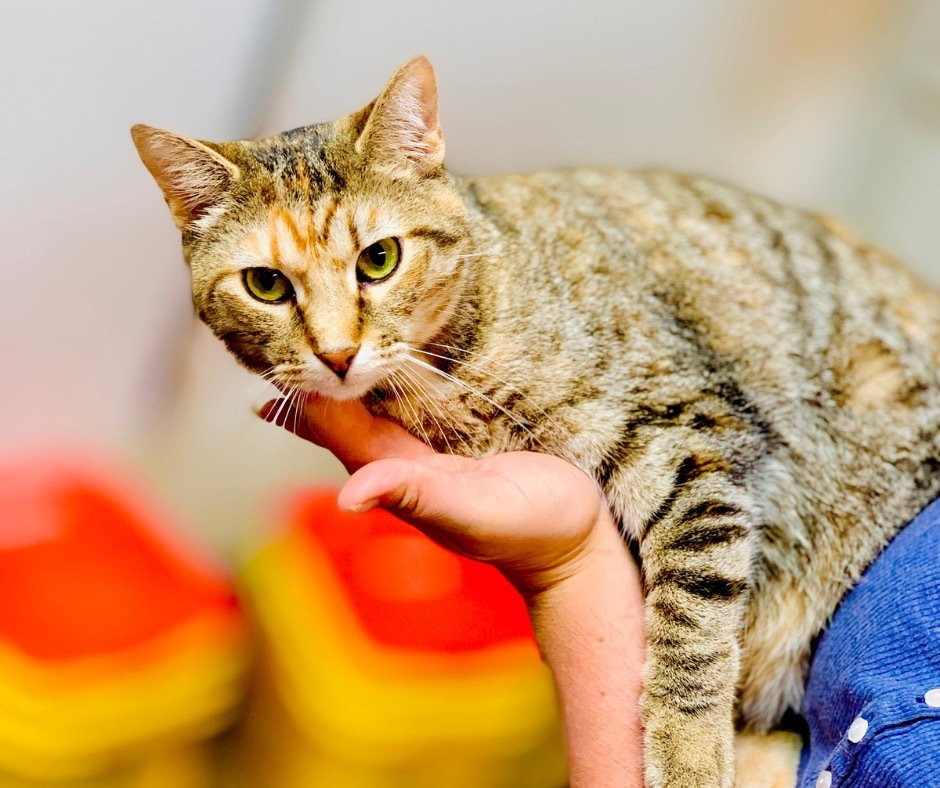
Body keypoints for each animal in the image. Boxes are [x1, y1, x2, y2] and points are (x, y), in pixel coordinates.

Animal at [130, 58, 940, 784]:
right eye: (266, 285)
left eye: (380, 259)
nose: (336, 354)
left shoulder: (693, 433)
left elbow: (691, 626)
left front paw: (687, 755)